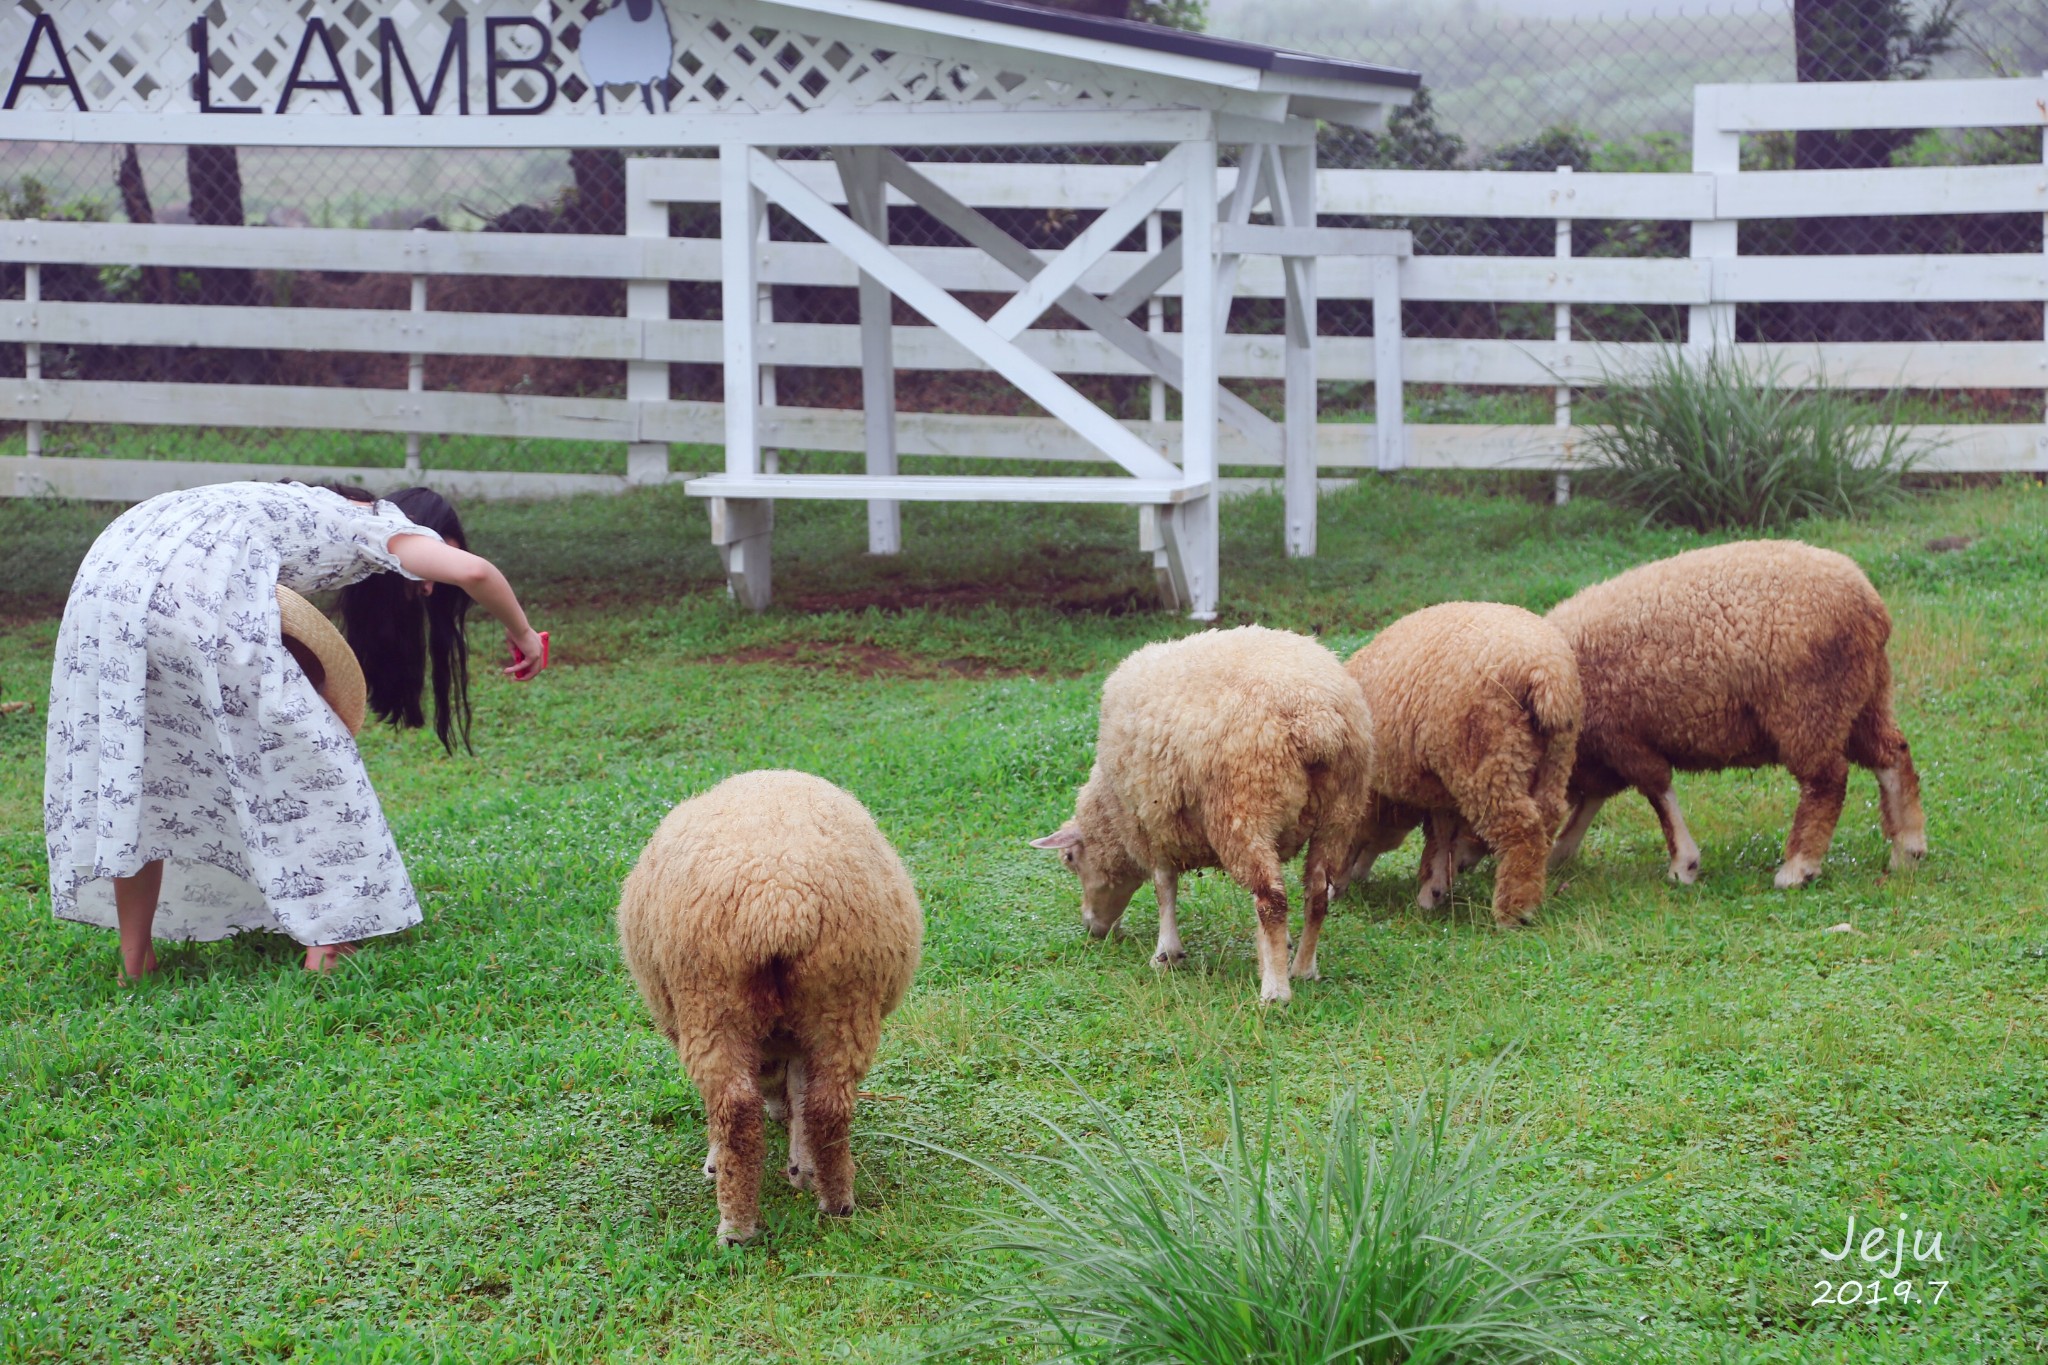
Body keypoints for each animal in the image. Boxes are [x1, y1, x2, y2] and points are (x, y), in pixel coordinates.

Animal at [614, 773, 921, 1244]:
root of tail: (780, 900)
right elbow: (799, 1089)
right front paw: (801, 1165)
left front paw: (718, 1160)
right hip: (843, 1001)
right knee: (828, 1105)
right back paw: (837, 1201)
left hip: (711, 1003)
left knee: (735, 1110)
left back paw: (735, 1226)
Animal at [1024, 626, 1376, 1002]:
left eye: (1070, 859)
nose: (1092, 927)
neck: (1110, 804)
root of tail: (1317, 719)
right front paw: (1277, 948)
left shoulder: (1150, 824)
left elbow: (1164, 887)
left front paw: (1166, 953)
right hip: (1340, 813)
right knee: (1317, 894)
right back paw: (1303, 968)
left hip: (1243, 811)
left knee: (1272, 900)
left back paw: (1275, 991)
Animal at [1343, 605, 1581, 929]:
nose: (1348, 886)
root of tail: (1546, 673)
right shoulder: (1443, 790)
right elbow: (1441, 837)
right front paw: (1433, 891)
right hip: (1555, 759)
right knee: (1548, 818)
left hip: (1487, 762)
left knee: (1521, 828)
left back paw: (1514, 912)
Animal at [1540, 540, 1925, 892]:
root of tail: (1871, 606)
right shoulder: (1602, 755)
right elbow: (1591, 802)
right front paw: (1560, 853)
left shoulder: (1622, 738)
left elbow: (1657, 793)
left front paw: (1683, 865)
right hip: (1863, 698)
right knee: (1893, 755)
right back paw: (1908, 850)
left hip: (1807, 706)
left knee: (1827, 780)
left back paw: (1799, 867)